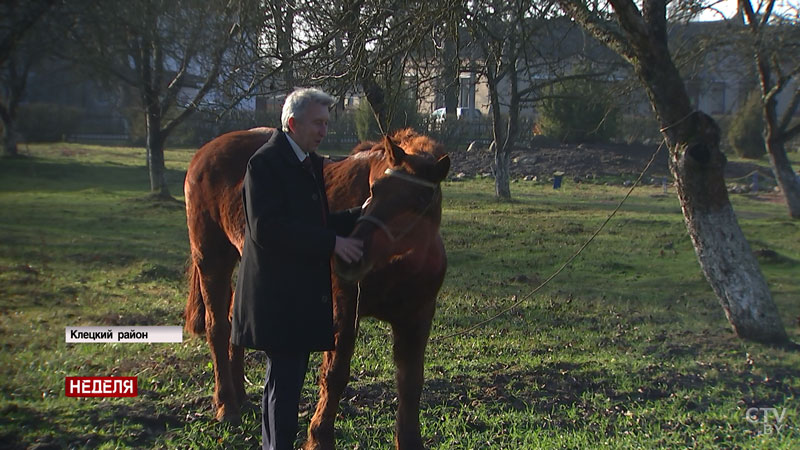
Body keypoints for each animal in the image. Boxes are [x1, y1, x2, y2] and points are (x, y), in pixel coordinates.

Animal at [185, 127, 454, 450]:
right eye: (375, 189)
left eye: (420, 199)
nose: (352, 257)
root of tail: (206, 151)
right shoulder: (345, 308)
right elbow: (335, 374)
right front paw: (319, 437)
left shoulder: (417, 318)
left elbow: (411, 382)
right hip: (212, 259)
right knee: (217, 328)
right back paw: (227, 405)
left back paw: (240, 397)